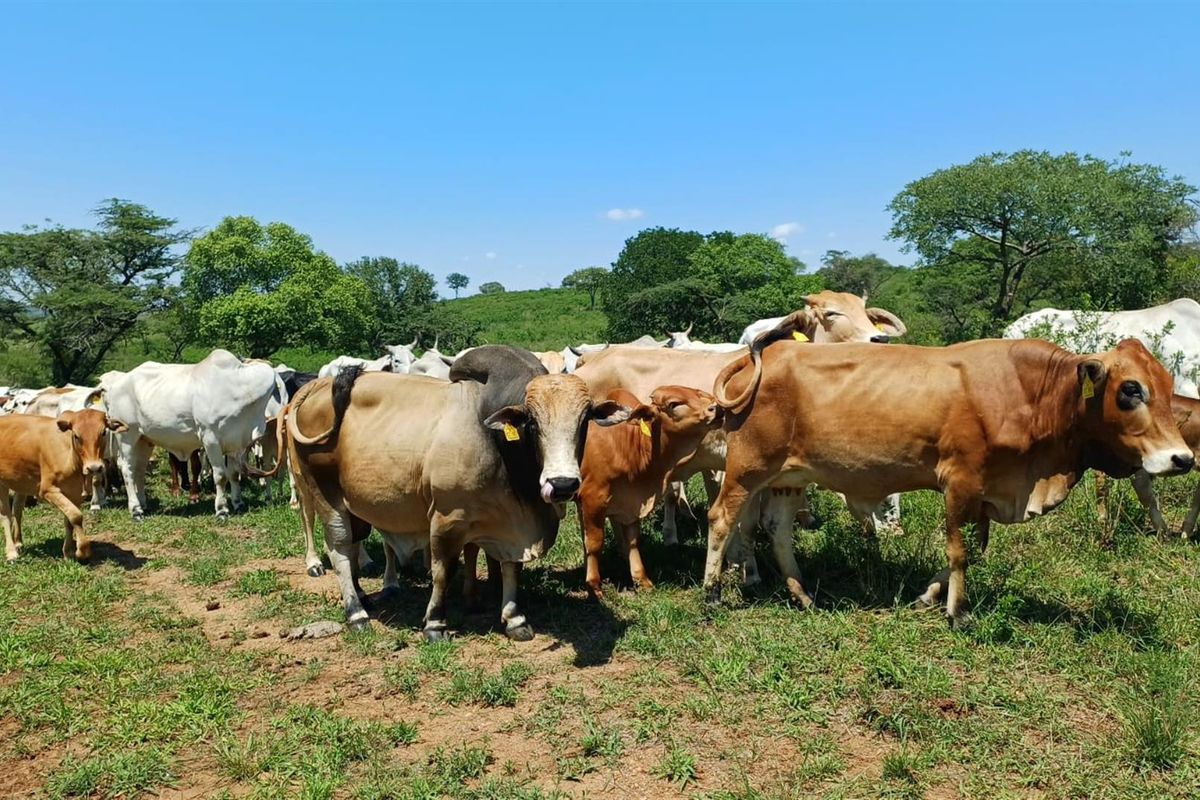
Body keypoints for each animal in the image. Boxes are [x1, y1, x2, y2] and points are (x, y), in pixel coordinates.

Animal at [0, 408, 127, 562]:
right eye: (76, 436)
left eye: (103, 432)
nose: (94, 468)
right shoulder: (47, 490)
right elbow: (76, 516)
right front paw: (81, 551)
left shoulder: (75, 494)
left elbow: (69, 520)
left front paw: (68, 552)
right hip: (2, 483)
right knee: (5, 514)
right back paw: (11, 552)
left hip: (22, 482)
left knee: (17, 510)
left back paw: (18, 543)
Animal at [102, 349, 283, 520]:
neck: (240, 387)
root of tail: (113, 385)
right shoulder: (210, 439)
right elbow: (220, 476)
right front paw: (222, 509)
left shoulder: (234, 441)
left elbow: (234, 474)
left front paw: (238, 503)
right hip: (127, 437)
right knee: (127, 469)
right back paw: (135, 510)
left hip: (144, 440)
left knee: (139, 469)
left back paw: (143, 505)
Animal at [277, 345, 630, 638]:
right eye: (531, 423)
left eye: (584, 420)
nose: (562, 484)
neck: (496, 443)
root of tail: (315, 389)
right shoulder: (446, 519)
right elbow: (442, 572)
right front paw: (435, 623)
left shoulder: (509, 524)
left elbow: (510, 568)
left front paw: (514, 619)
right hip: (324, 494)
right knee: (338, 548)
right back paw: (356, 612)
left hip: (354, 507)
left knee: (352, 548)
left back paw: (363, 596)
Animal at [577, 386, 722, 597]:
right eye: (674, 404)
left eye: (698, 394)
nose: (717, 409)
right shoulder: (593, 497)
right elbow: (595, 542)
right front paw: (594, 585)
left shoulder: (631, 501)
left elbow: (633, 540)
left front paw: (641, 579)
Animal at [706, 332, 1194, 627]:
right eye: (1130, 389)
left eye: (1168, 384)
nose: (1183, 458)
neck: (1031, 395)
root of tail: (763, 355)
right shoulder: (960, 480)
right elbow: (958, 551)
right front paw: (957, 612)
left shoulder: (985, 495)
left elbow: (973, 551)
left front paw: (927, 597)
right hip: (747, 470)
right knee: (721, 520)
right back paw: (711, 594)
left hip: (788, 476)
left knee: (777, 530)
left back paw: (802, 594)